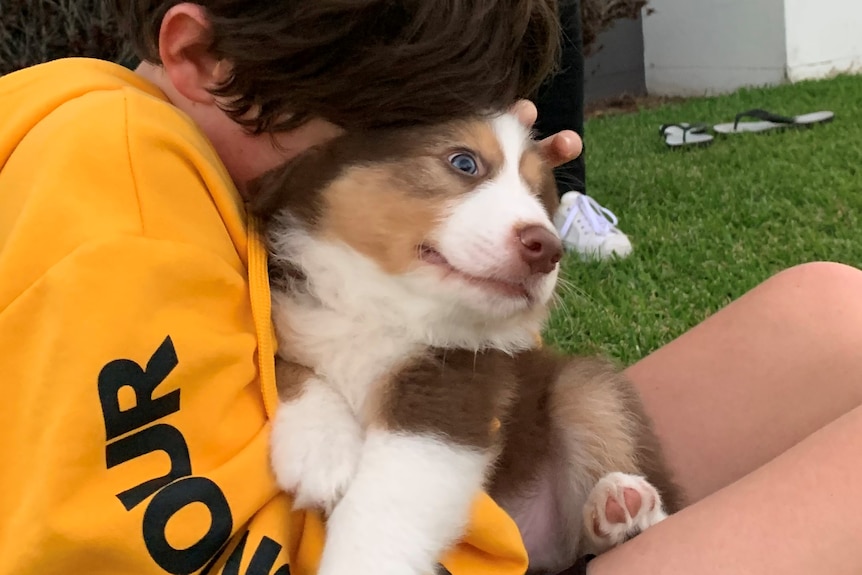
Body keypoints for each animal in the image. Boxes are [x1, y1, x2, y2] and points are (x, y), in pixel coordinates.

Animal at [251, 109, 688, 575]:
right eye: (464, 163)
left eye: (538, 194)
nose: (547, 248)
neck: (382, 306)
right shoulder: (287, 313)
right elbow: (284, 365)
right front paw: (322, 451)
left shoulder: (454, 390)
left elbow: (385, 506)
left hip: (587, 388)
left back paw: (625, 507)